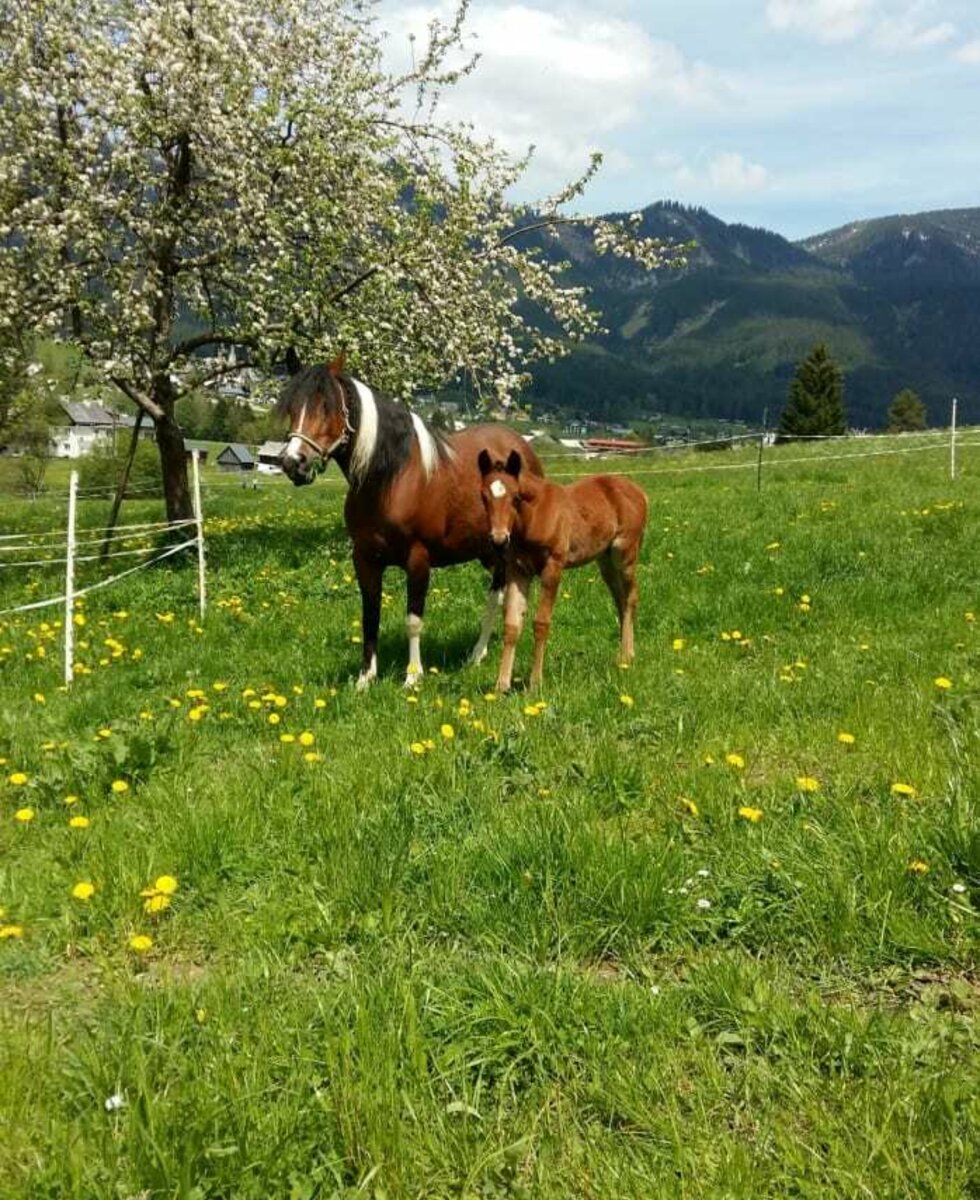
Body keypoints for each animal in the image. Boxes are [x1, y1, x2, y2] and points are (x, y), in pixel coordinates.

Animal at [277, 352, 542, 686]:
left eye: (327, 406)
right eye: (291, 406)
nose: (293, 463)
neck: (391, 478)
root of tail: (522, 448)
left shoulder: (418, 559)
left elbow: (413, 620)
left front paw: (412, 678)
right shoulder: (364, 559)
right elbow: (370, 616)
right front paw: (365, 679)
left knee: (498, 597)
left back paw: (475, 655)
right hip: (489, 550)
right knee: (499, 592)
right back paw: (477, 655)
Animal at [475, 448, 647, 696]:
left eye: (515, 497)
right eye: (483, 497)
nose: (499, 540)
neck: (534, 516)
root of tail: (639, 491)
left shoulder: (552, 568)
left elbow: (541, 623)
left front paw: (535, 683)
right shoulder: (518, 571)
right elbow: (512, 624)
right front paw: (501, 685)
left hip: (625, 554)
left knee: (631, 597)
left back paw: (625, 657)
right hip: (605, 561)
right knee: (620, 600)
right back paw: (626, 654)